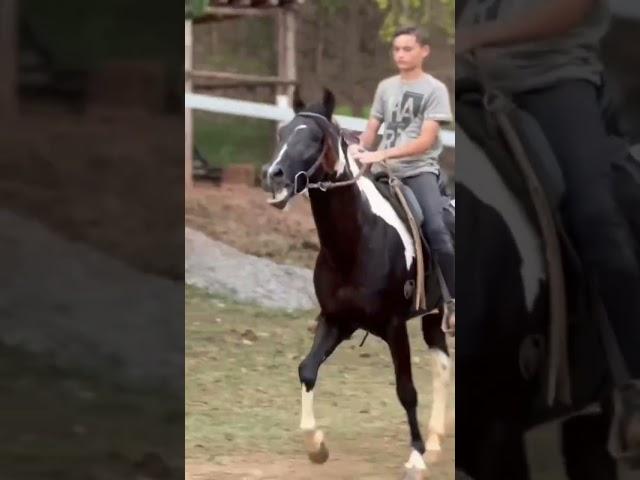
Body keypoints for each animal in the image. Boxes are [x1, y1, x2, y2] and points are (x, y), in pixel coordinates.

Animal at [262, 88, 452, 478]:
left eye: (314, 138)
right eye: (283, 132)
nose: (273, 175)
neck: (356, 242)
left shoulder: (394, 326)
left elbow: (406, 390)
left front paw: (415, 456)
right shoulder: (337, 320)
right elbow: (307, 370)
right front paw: (316, 446)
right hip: (432, 317)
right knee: (443, 366)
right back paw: (437, 440)